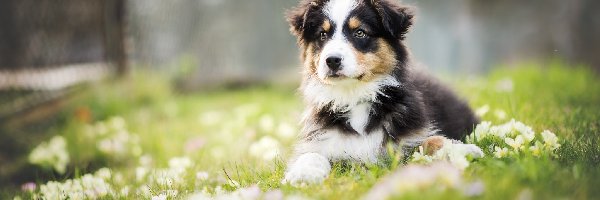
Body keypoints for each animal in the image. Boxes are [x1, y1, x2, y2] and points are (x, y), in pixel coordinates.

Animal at [284, 0, 480, 184]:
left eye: (360, 32)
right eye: (322, 35)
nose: (332, 60)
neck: (353, 95)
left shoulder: (410, 136)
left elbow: (432, 139)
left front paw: (461, 149)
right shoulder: (319, 139)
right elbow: (311, 155)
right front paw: (303, 174)